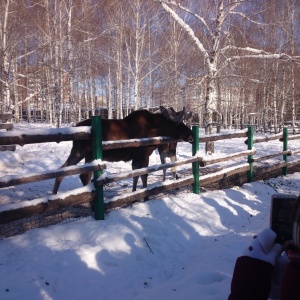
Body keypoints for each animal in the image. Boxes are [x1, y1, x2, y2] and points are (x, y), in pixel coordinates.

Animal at [53, 106, 195, 193]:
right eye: (176, 123)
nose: (191, 135)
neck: (155, 129)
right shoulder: (144, 154)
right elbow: (143, 175)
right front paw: (145, 196)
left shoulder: (136, 157)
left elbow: (135, 176)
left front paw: (133, 193)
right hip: (86, 153)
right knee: (83, 175)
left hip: (79, 153)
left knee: (63, 171)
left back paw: (54, 196)